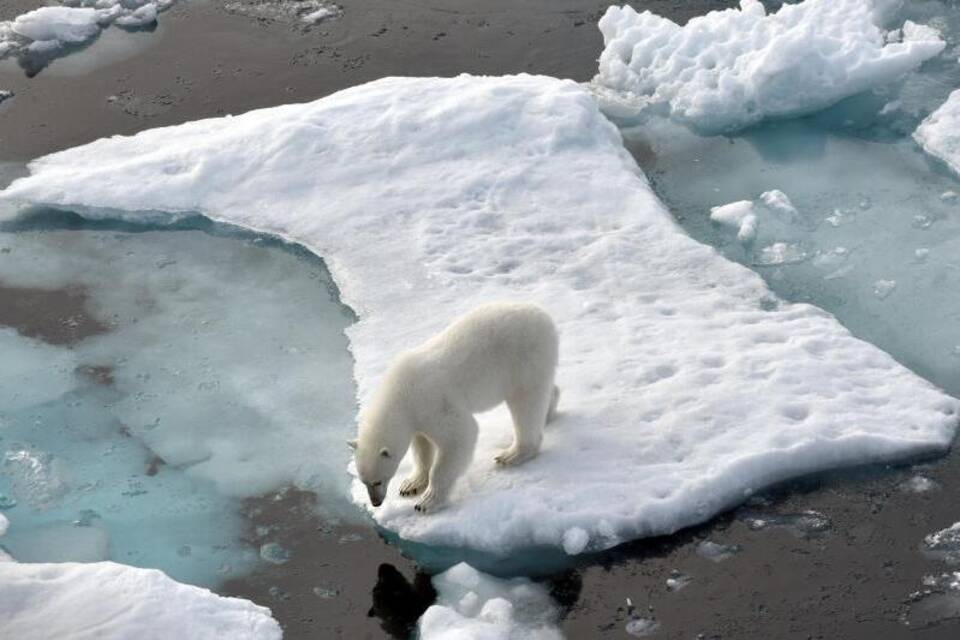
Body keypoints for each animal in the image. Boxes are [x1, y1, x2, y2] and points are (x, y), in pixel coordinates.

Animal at [348, 302, 560, 516]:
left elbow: (460, 436)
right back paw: (548, 411)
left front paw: (427, 501)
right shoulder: (417, 415)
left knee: (526, 403)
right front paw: (410, 485)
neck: (400, 391)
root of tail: (543, 316)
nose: (376, 503)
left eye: (378, 481)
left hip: (525, 357)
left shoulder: (432, 401)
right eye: (363, 481)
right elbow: (422, 446)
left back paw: (512, 454)